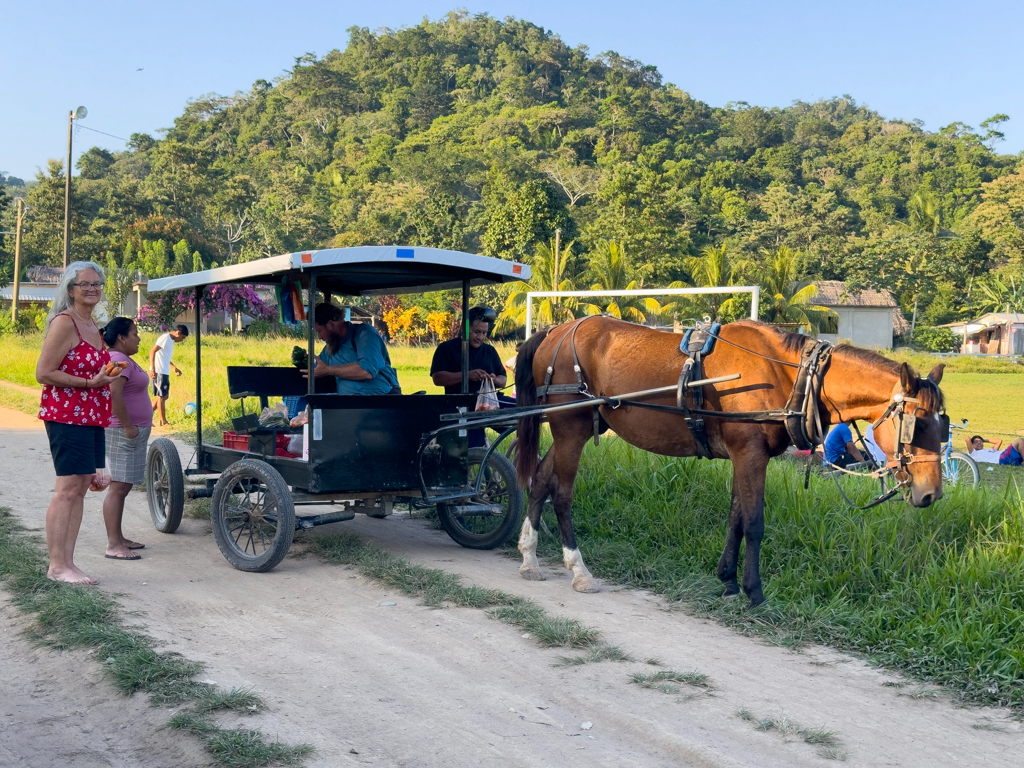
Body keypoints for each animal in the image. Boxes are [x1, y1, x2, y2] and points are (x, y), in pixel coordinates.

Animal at [512, 319, 942, 606]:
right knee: (562, 494)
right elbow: (753, 522)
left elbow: (735, 517)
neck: (791, 375)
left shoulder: (744, 455)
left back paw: (529, 557)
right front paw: (755, 592)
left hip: (575, 430)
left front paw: (728, 580)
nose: (931, 494)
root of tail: (555, 331)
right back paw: (578, 569)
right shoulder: (750, 453)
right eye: (917, 424)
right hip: (570, 429)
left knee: (540, 481)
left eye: (944, 422)